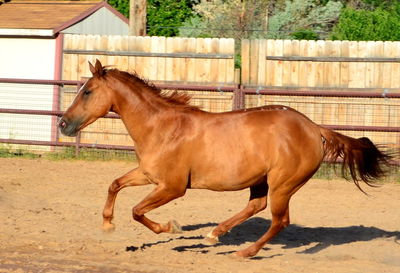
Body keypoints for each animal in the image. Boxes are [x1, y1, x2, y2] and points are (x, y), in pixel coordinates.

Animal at [59, 60, 390, 258]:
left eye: (87, 91)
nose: (63, 124)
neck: (162, 127)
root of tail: (314, 128)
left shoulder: (172, 187)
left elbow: (138, 211)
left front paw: (172, 227)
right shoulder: (148, 174)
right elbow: (115, 185)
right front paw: (107, 225)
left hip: (283, 184)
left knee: (280, 220)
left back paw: (244, 252)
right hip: (261, 181)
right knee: (256, 206)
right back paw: (214, 234)